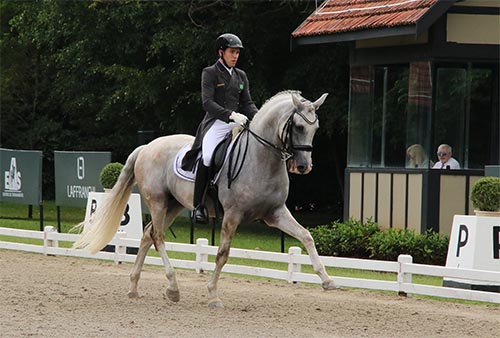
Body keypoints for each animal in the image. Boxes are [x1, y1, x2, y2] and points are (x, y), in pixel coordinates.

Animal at [73, 91, 336, 308]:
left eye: (315, 128)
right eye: (298, 126)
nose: (303, 166)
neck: (260, 158)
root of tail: (147, 146)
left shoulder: (276, 213)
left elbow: (306, 236)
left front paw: (327, 280)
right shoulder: (232, 215)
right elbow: (222, 254)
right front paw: (213, 295)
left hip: (174, 205)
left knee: (148, 234)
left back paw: (134, 287)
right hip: (157, 201)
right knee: (158, 237)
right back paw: (173, 287)